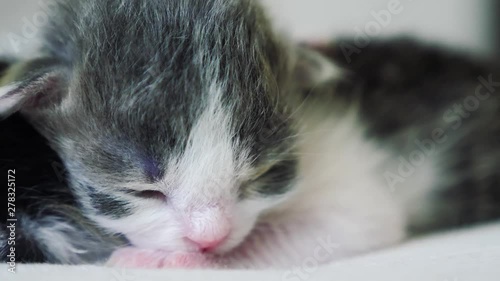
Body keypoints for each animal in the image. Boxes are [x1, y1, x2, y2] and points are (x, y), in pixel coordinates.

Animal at [0, 0, 500, 266]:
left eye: (261, 176)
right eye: (142, 191)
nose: (207, 239)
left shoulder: (354, 198)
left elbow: (349, 223)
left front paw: (181, 261)